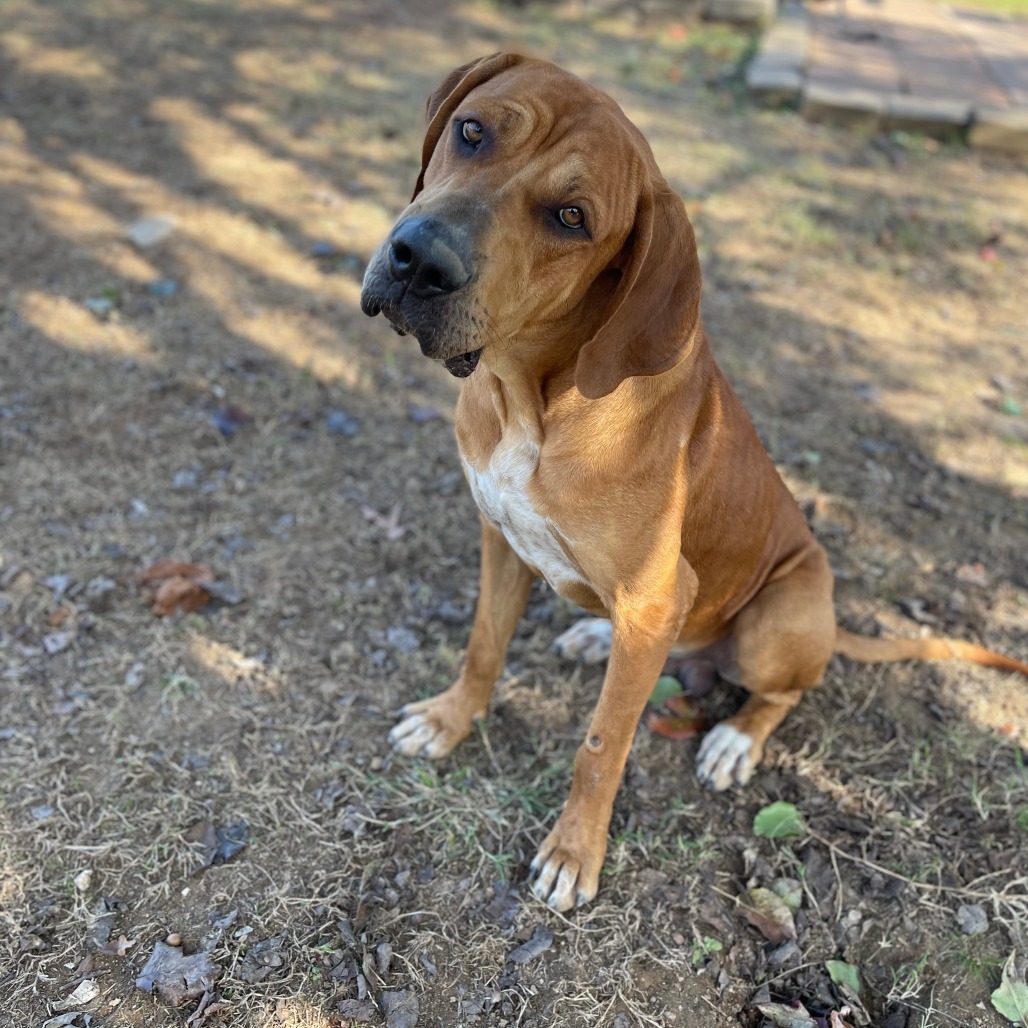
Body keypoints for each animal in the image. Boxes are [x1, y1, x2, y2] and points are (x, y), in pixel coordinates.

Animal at [359, 54, 1028, 916]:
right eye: (472, 132)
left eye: (571, 217)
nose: (420, 259)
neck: (532, 398)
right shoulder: (501, 539)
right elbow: (482, 647)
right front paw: (449, 720)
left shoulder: (657, 590)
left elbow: (602, 742)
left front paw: (574, 851)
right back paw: (594, 635)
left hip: (778, 616)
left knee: (781, 693)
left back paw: (734, 739)